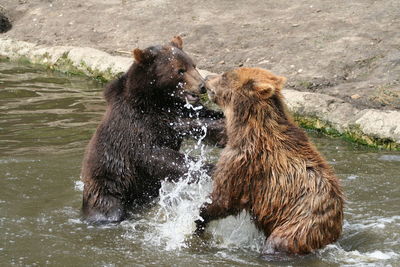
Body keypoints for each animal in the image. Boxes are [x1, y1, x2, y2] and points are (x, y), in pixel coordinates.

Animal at [81, 36, 225, 225]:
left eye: (193, 65)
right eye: (179, 70)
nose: (202, 86)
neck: (155, 99)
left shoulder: (178, 110)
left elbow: (201, 118)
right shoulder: (137, 126)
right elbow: (157, 155)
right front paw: (209, 168)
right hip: (109, 183)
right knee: (109, 206)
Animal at [196, 68, 344, 258]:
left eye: (225, 75)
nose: (206, 78)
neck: (247, 127)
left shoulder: (245, 163)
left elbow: (224, 199)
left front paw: (200, 218)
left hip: (300, 225)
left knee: (278, 243)